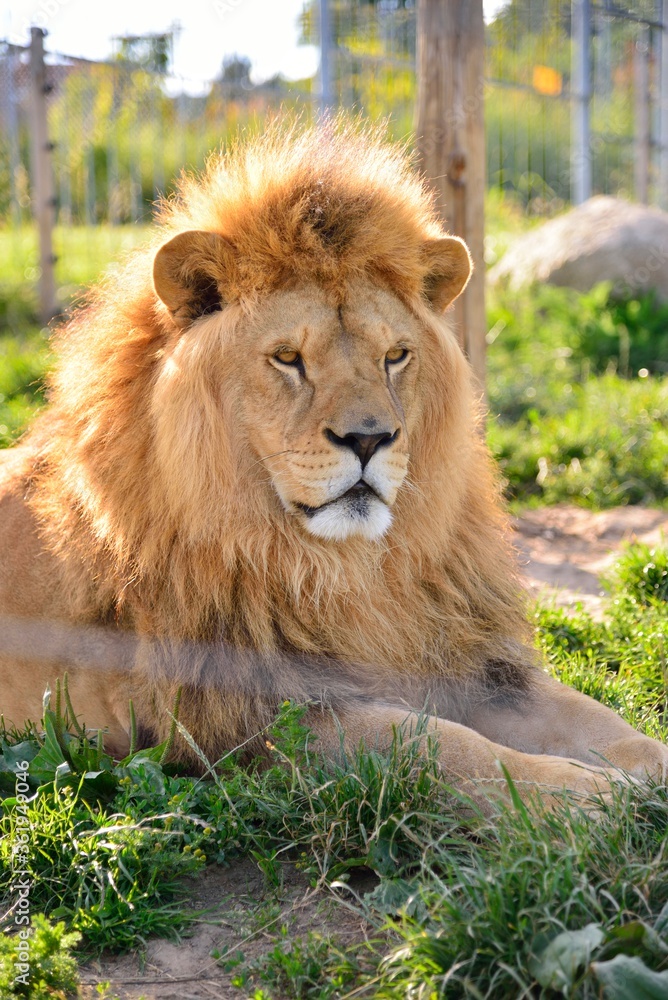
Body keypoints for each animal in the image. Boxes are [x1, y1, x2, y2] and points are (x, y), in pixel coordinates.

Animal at [0, 120, 666, 800]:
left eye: (395, 356)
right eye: (288, 358)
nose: (369, 440)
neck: (349, 570)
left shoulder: (473, 660)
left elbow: (596, 720)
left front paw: (643, 772)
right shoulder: (256, 716)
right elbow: (443, 747)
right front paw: (587, 795)